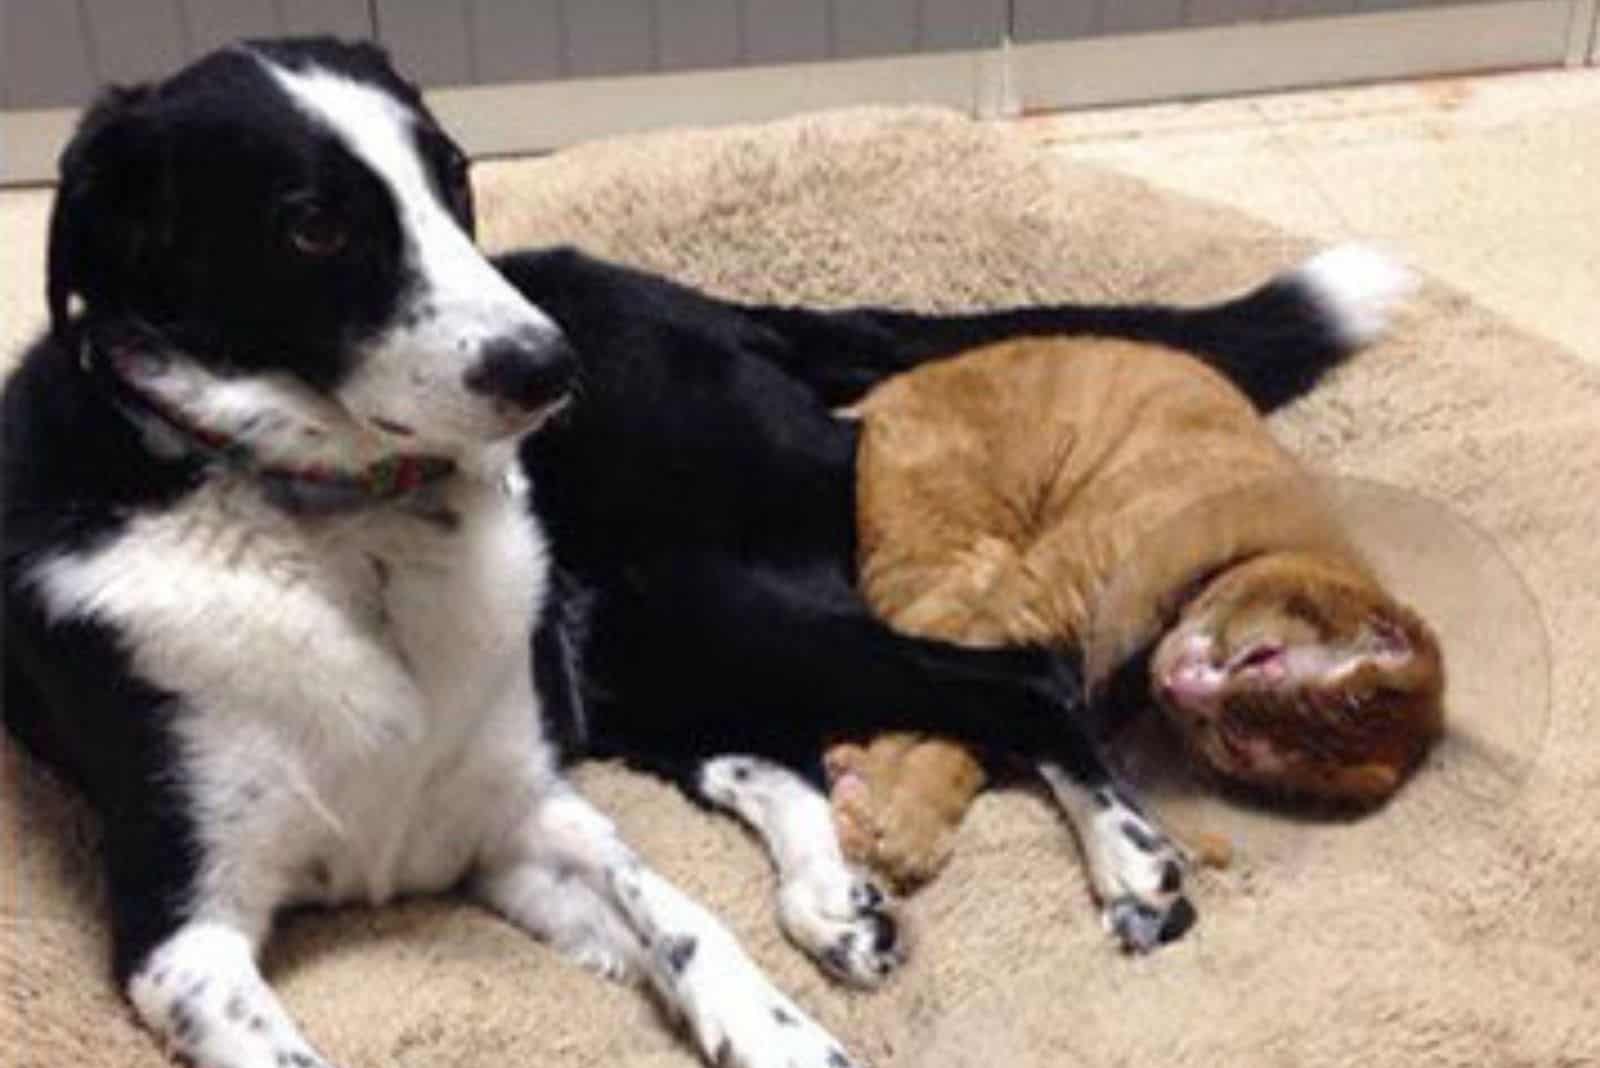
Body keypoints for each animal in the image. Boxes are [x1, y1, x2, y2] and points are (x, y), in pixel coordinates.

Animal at [832, 334, 1446, 882]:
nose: (1181, 686)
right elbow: (950, 716)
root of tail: (884, 390)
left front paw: (907, 807)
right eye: (1261, 657)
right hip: (947, 557)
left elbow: (975, 738)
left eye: (1237, 743)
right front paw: (907, 814)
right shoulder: (1024, 608)